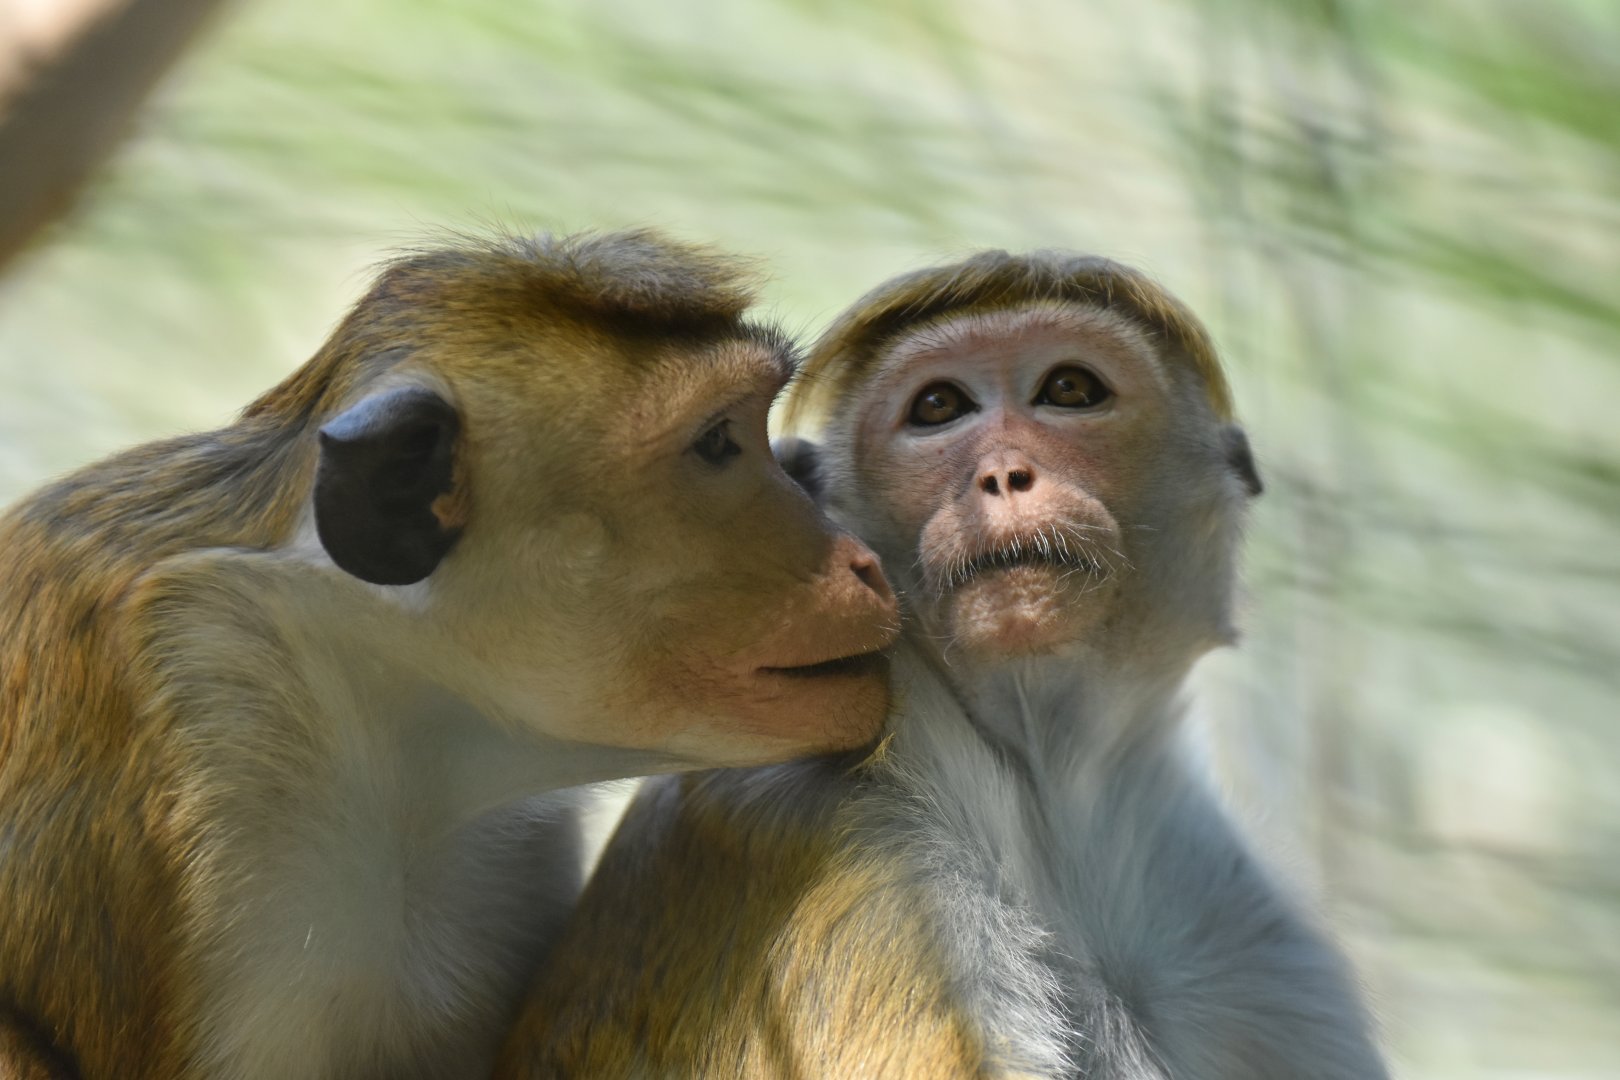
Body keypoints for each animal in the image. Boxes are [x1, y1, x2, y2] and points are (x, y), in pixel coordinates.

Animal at [494, 250, 1390, 1079]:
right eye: (938, 408)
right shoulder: (865, 860)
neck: (1053, 790)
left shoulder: (1262, 939)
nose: (1002, 475)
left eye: (1070, 390)